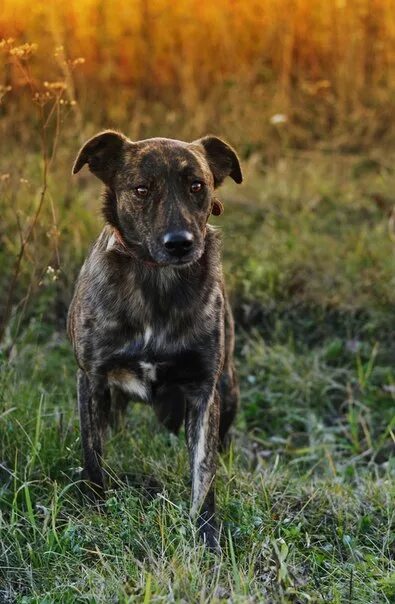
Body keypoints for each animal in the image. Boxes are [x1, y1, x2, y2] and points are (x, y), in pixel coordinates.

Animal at [67, 130, 243, 548]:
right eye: (141, 189)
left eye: (197, 185)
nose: (179, 243)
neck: (158, 282)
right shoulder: (91, 378)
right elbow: (93, 454)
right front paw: (95, 511)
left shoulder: (203, 391)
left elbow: (204, 470)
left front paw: (206, 537)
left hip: (229, 389)